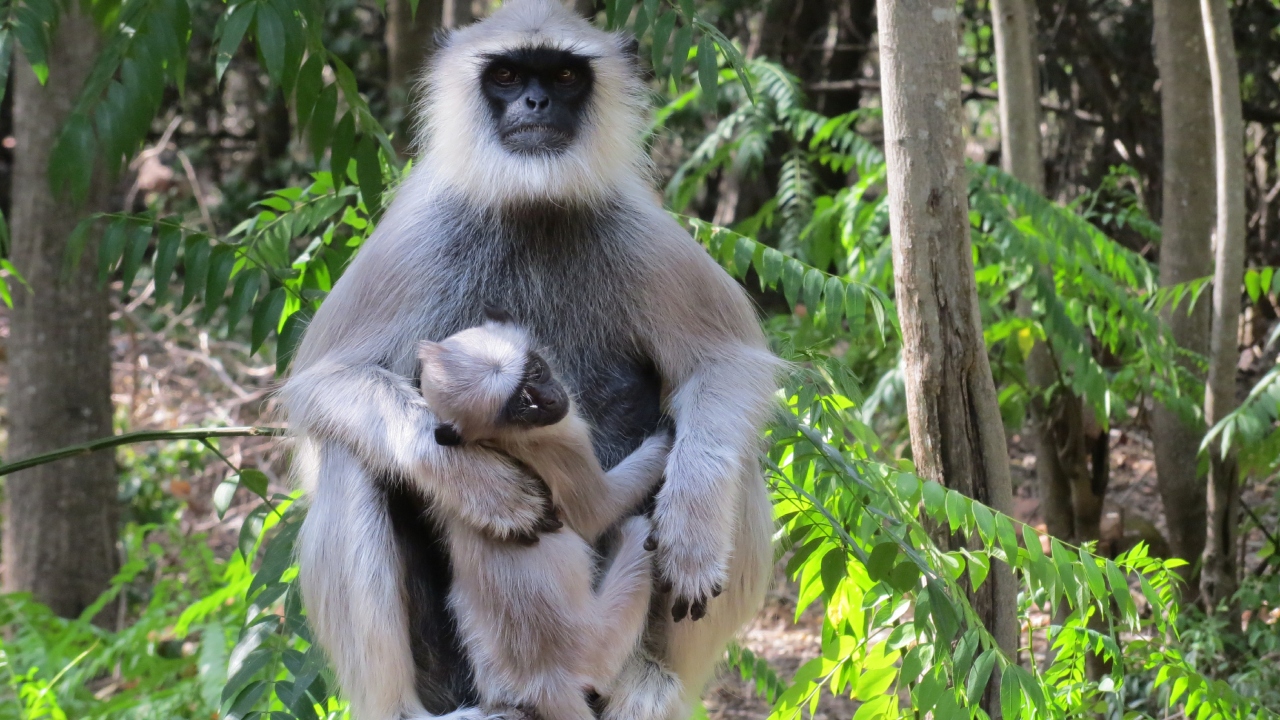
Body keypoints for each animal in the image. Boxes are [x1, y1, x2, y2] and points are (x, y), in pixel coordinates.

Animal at [416, 315, 671, 720]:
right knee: (635, 530)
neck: (501, 442)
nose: (550, 399)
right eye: (522, 405)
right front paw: (668, 433)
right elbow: (596, 512)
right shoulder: (561, 442)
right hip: (602, 642)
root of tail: (547, 678)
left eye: (535, 371)